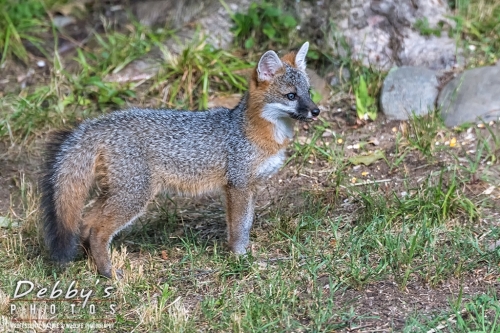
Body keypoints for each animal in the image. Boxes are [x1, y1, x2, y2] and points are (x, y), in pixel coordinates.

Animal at [41, 41, 318, 276]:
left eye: (309, 92)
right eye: (291, 96)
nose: (316, 111)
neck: (253, 130)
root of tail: (103, 122)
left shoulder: (248, 187)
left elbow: (245, 224)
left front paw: (244, 253)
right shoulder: (237, 186)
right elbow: (240, 227)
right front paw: (240, 258)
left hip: (118, 193)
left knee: (86, 222)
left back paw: (91, 264)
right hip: (134, 196)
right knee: (98, 230)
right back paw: (108, 272)